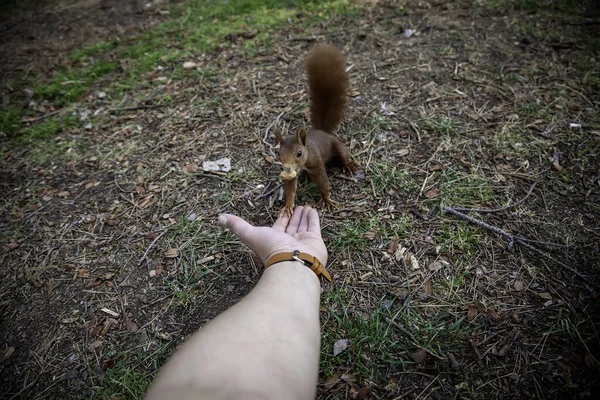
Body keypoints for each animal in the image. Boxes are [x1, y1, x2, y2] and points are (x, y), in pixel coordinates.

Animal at [276, 43, 356, 217]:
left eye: (299, 153)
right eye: (279, 153)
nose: (287, 168)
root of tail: (322, 131)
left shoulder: (317, 164)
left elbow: (323, 182)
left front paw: (327, 200)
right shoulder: (293, 173)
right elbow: (290, 188)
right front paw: (288, 206)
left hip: (337, 145)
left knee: (344, 154)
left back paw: (349, 165)